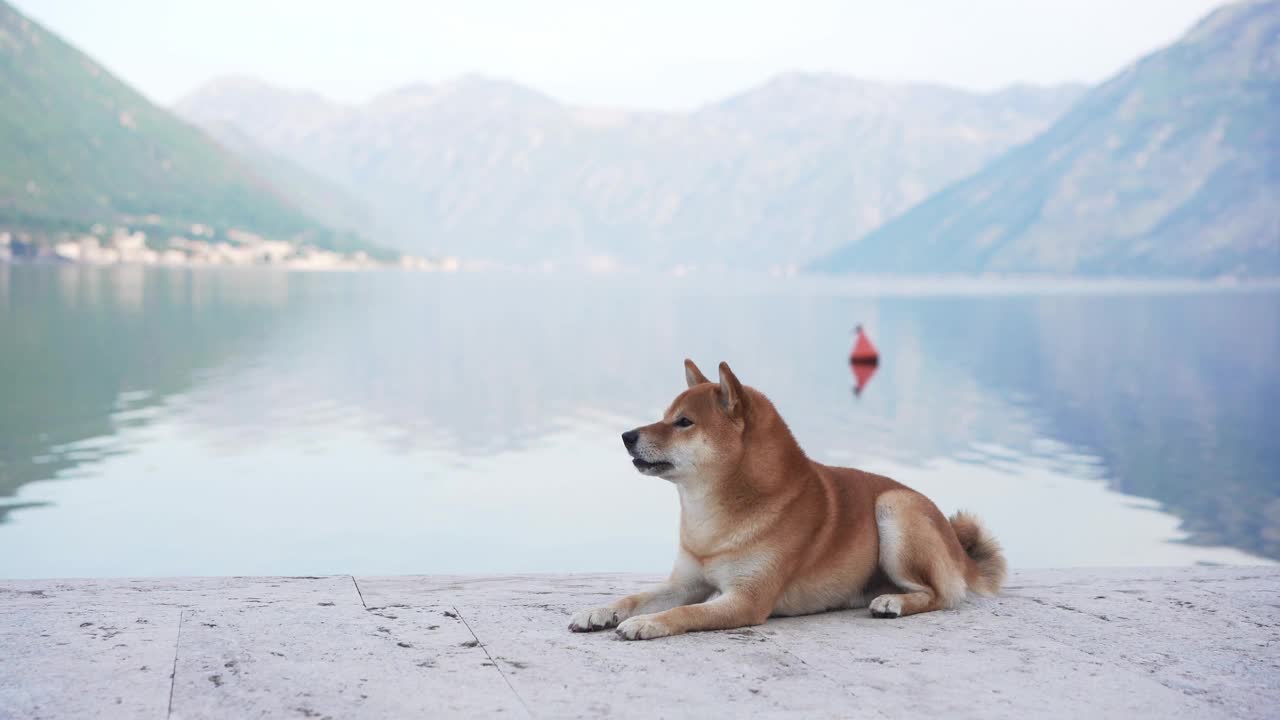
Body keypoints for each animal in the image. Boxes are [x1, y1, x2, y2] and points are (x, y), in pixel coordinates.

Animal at [573, 358, 1008, 638]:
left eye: (684, 422)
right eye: (665, 416)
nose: (626, 436)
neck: (712, 519)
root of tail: (959, 549)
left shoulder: (745, 600)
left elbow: (684, 612)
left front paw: (647, 623)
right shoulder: (686, 582)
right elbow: (636, 596)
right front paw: (600, 611)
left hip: (894, 508)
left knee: (939, 596)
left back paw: (894, 603)